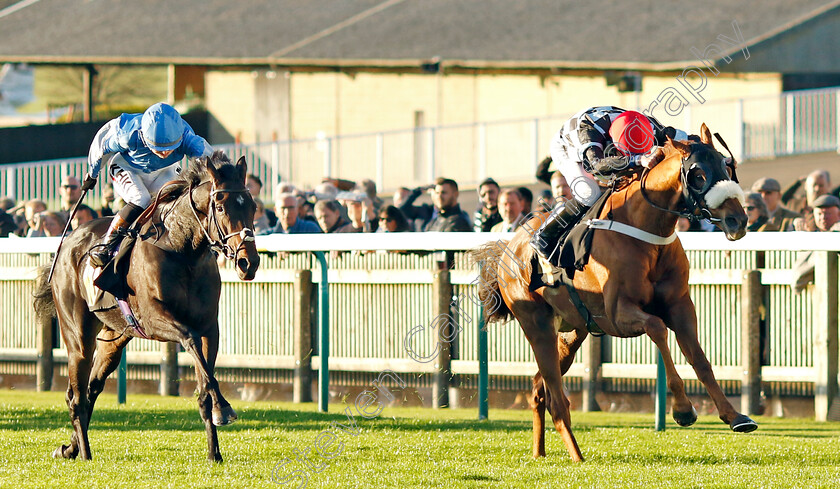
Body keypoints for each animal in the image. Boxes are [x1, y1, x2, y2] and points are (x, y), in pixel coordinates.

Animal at [33, 152, 260, 462]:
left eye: (253, 206)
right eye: (221, 206)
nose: (249, 263)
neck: (182, 249)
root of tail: (68, 241)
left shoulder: (209, 327)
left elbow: (205, 380)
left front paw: (214, 449)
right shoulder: (154, 320)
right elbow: (189, 340)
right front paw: (224, 409)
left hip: (114, 337)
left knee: (91, 388)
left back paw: (70, 447)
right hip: (77, 334)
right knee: (76, 395)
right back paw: (84, 453)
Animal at [472, 125, 756, 462]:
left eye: (726, 167)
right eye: (698, 174)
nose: (738, 220)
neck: (647, 231)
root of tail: (509, 246)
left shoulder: (680, 306)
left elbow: (700, 359)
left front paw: (735, 416)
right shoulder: (617, 315)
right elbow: (657, 328)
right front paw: (683, 409)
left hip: (571, 332)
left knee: (540, 388)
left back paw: (539, 453)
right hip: (535, 323)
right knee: (556, 398)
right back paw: (577, 456)